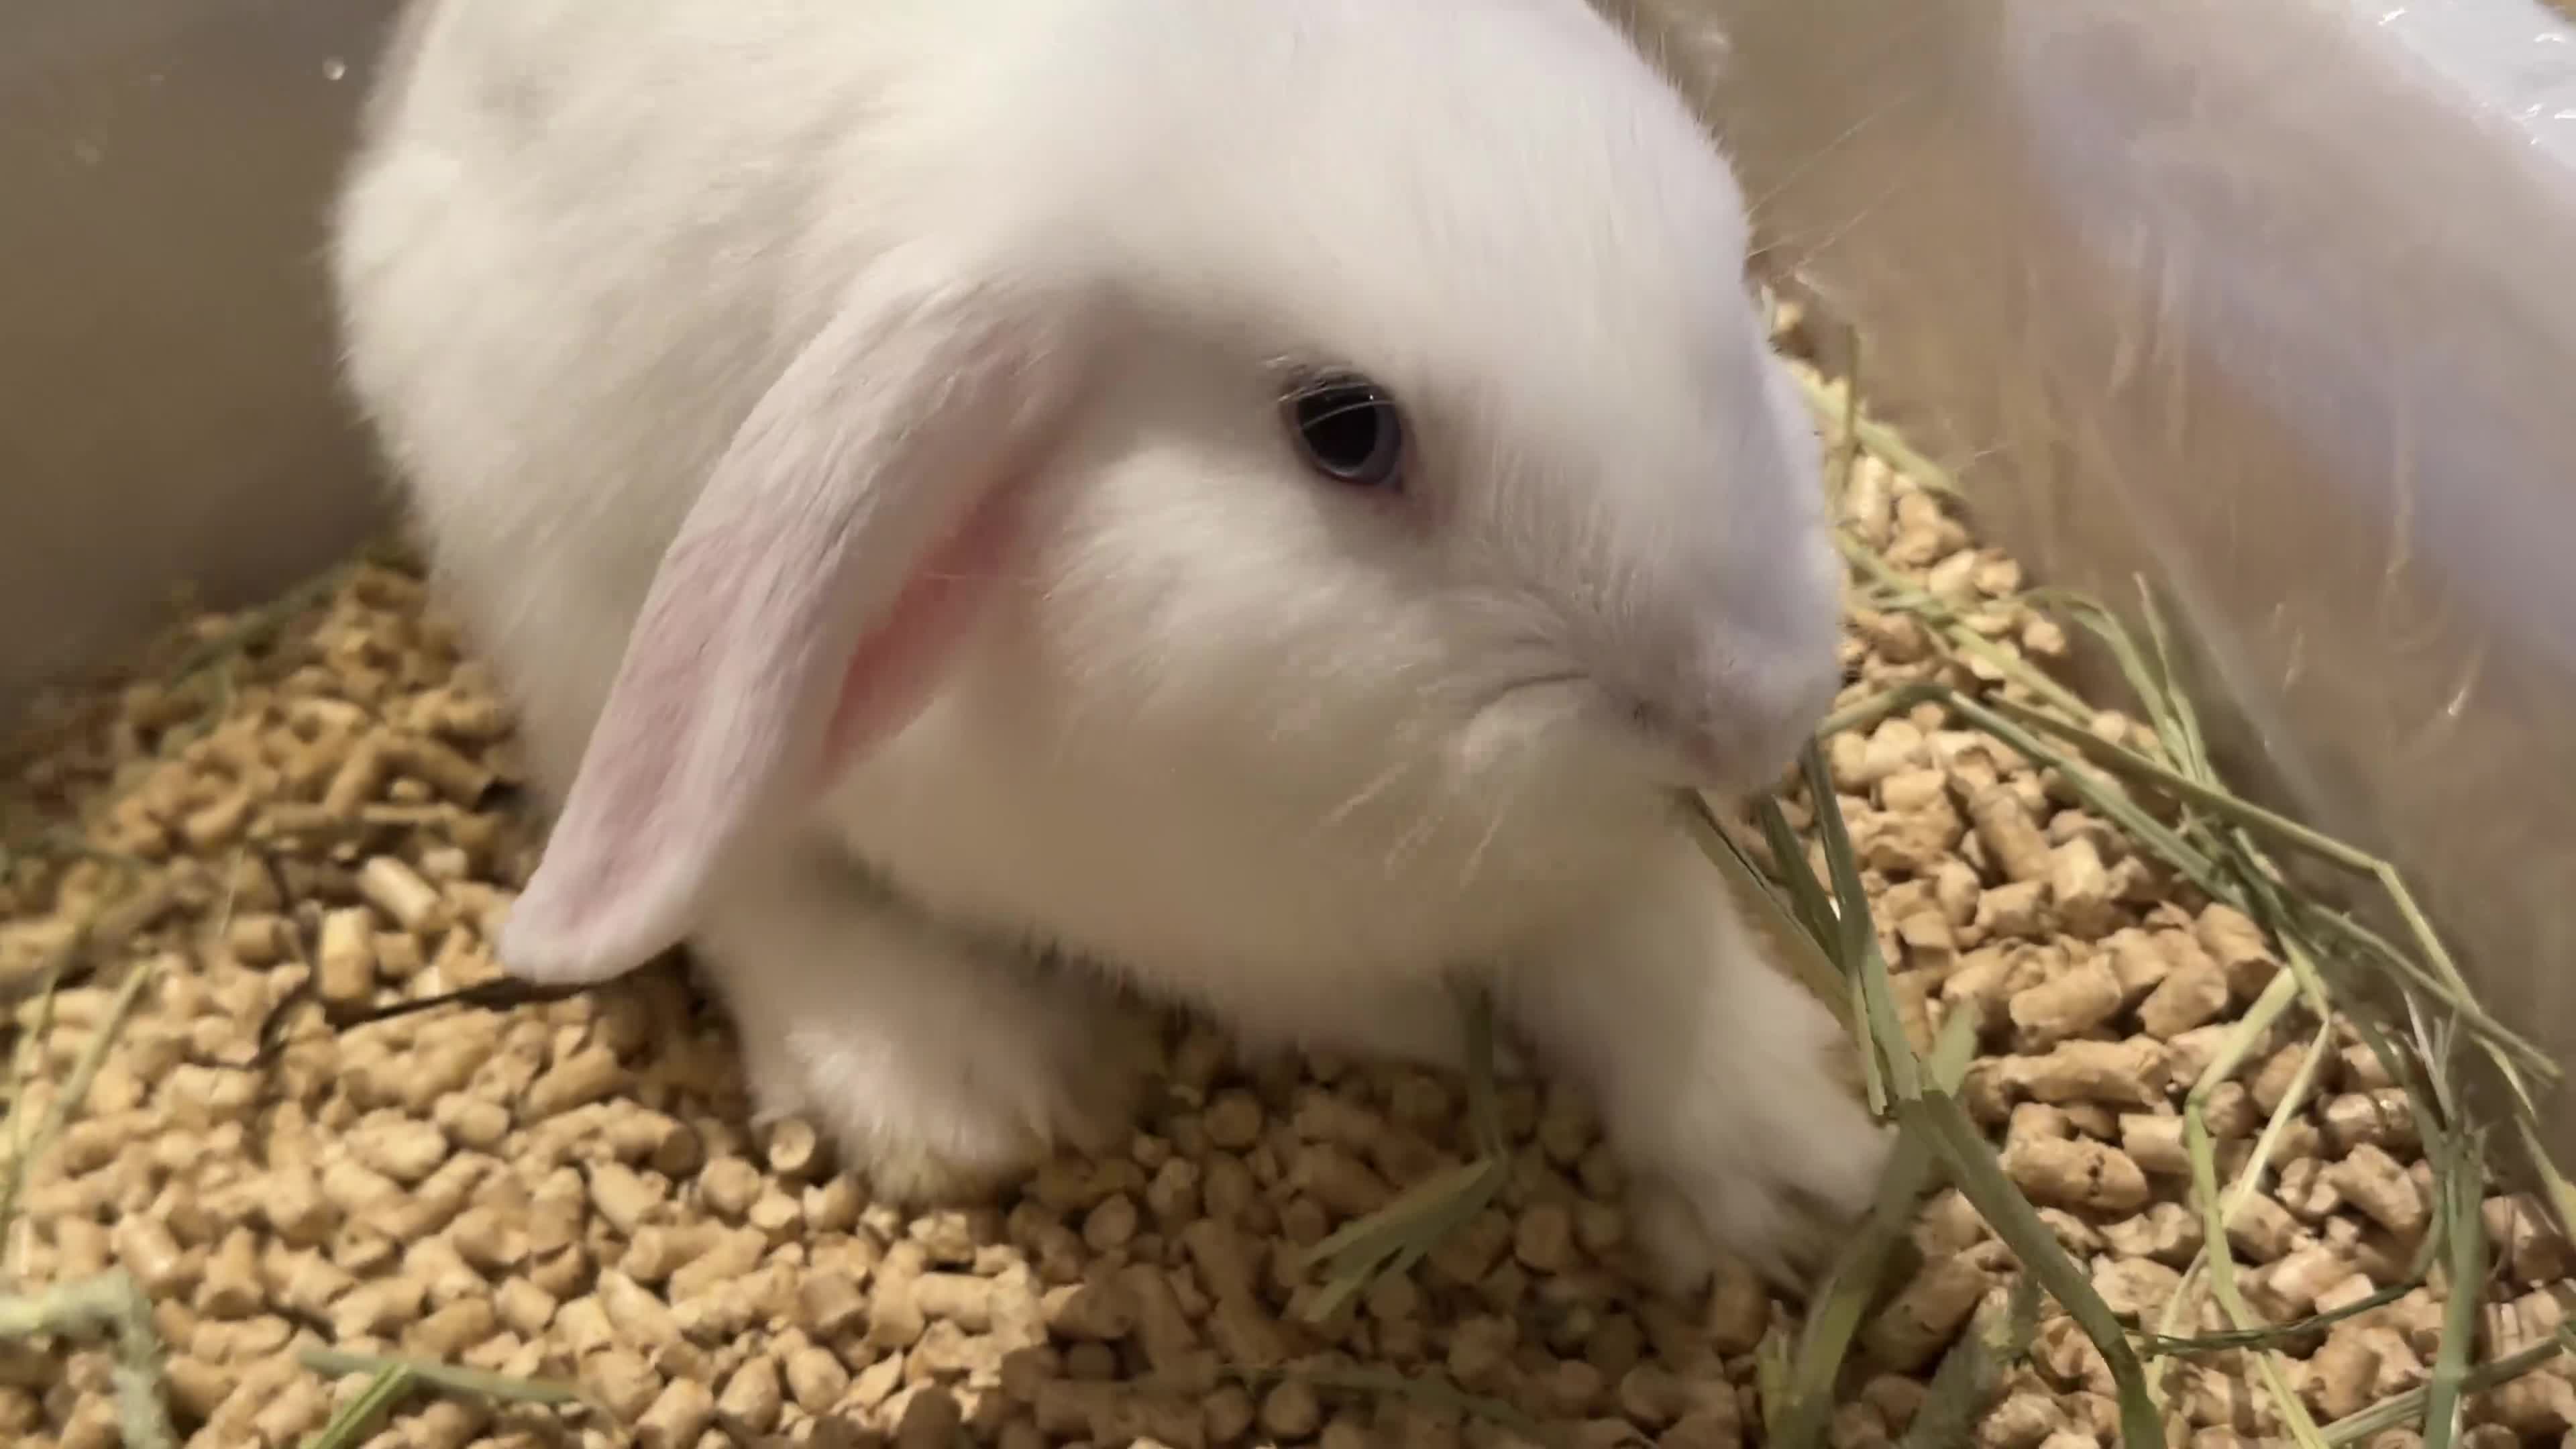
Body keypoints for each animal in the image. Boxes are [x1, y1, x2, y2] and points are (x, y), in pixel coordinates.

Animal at [327, 0, 1891, 1288]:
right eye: (1344, 430)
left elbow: (1651, 951)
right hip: (600, 639)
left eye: (1740, 275)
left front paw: (1809, 1179)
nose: (1756, 714)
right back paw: (955, 1092)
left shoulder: (1580, 872)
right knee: (743, 884)